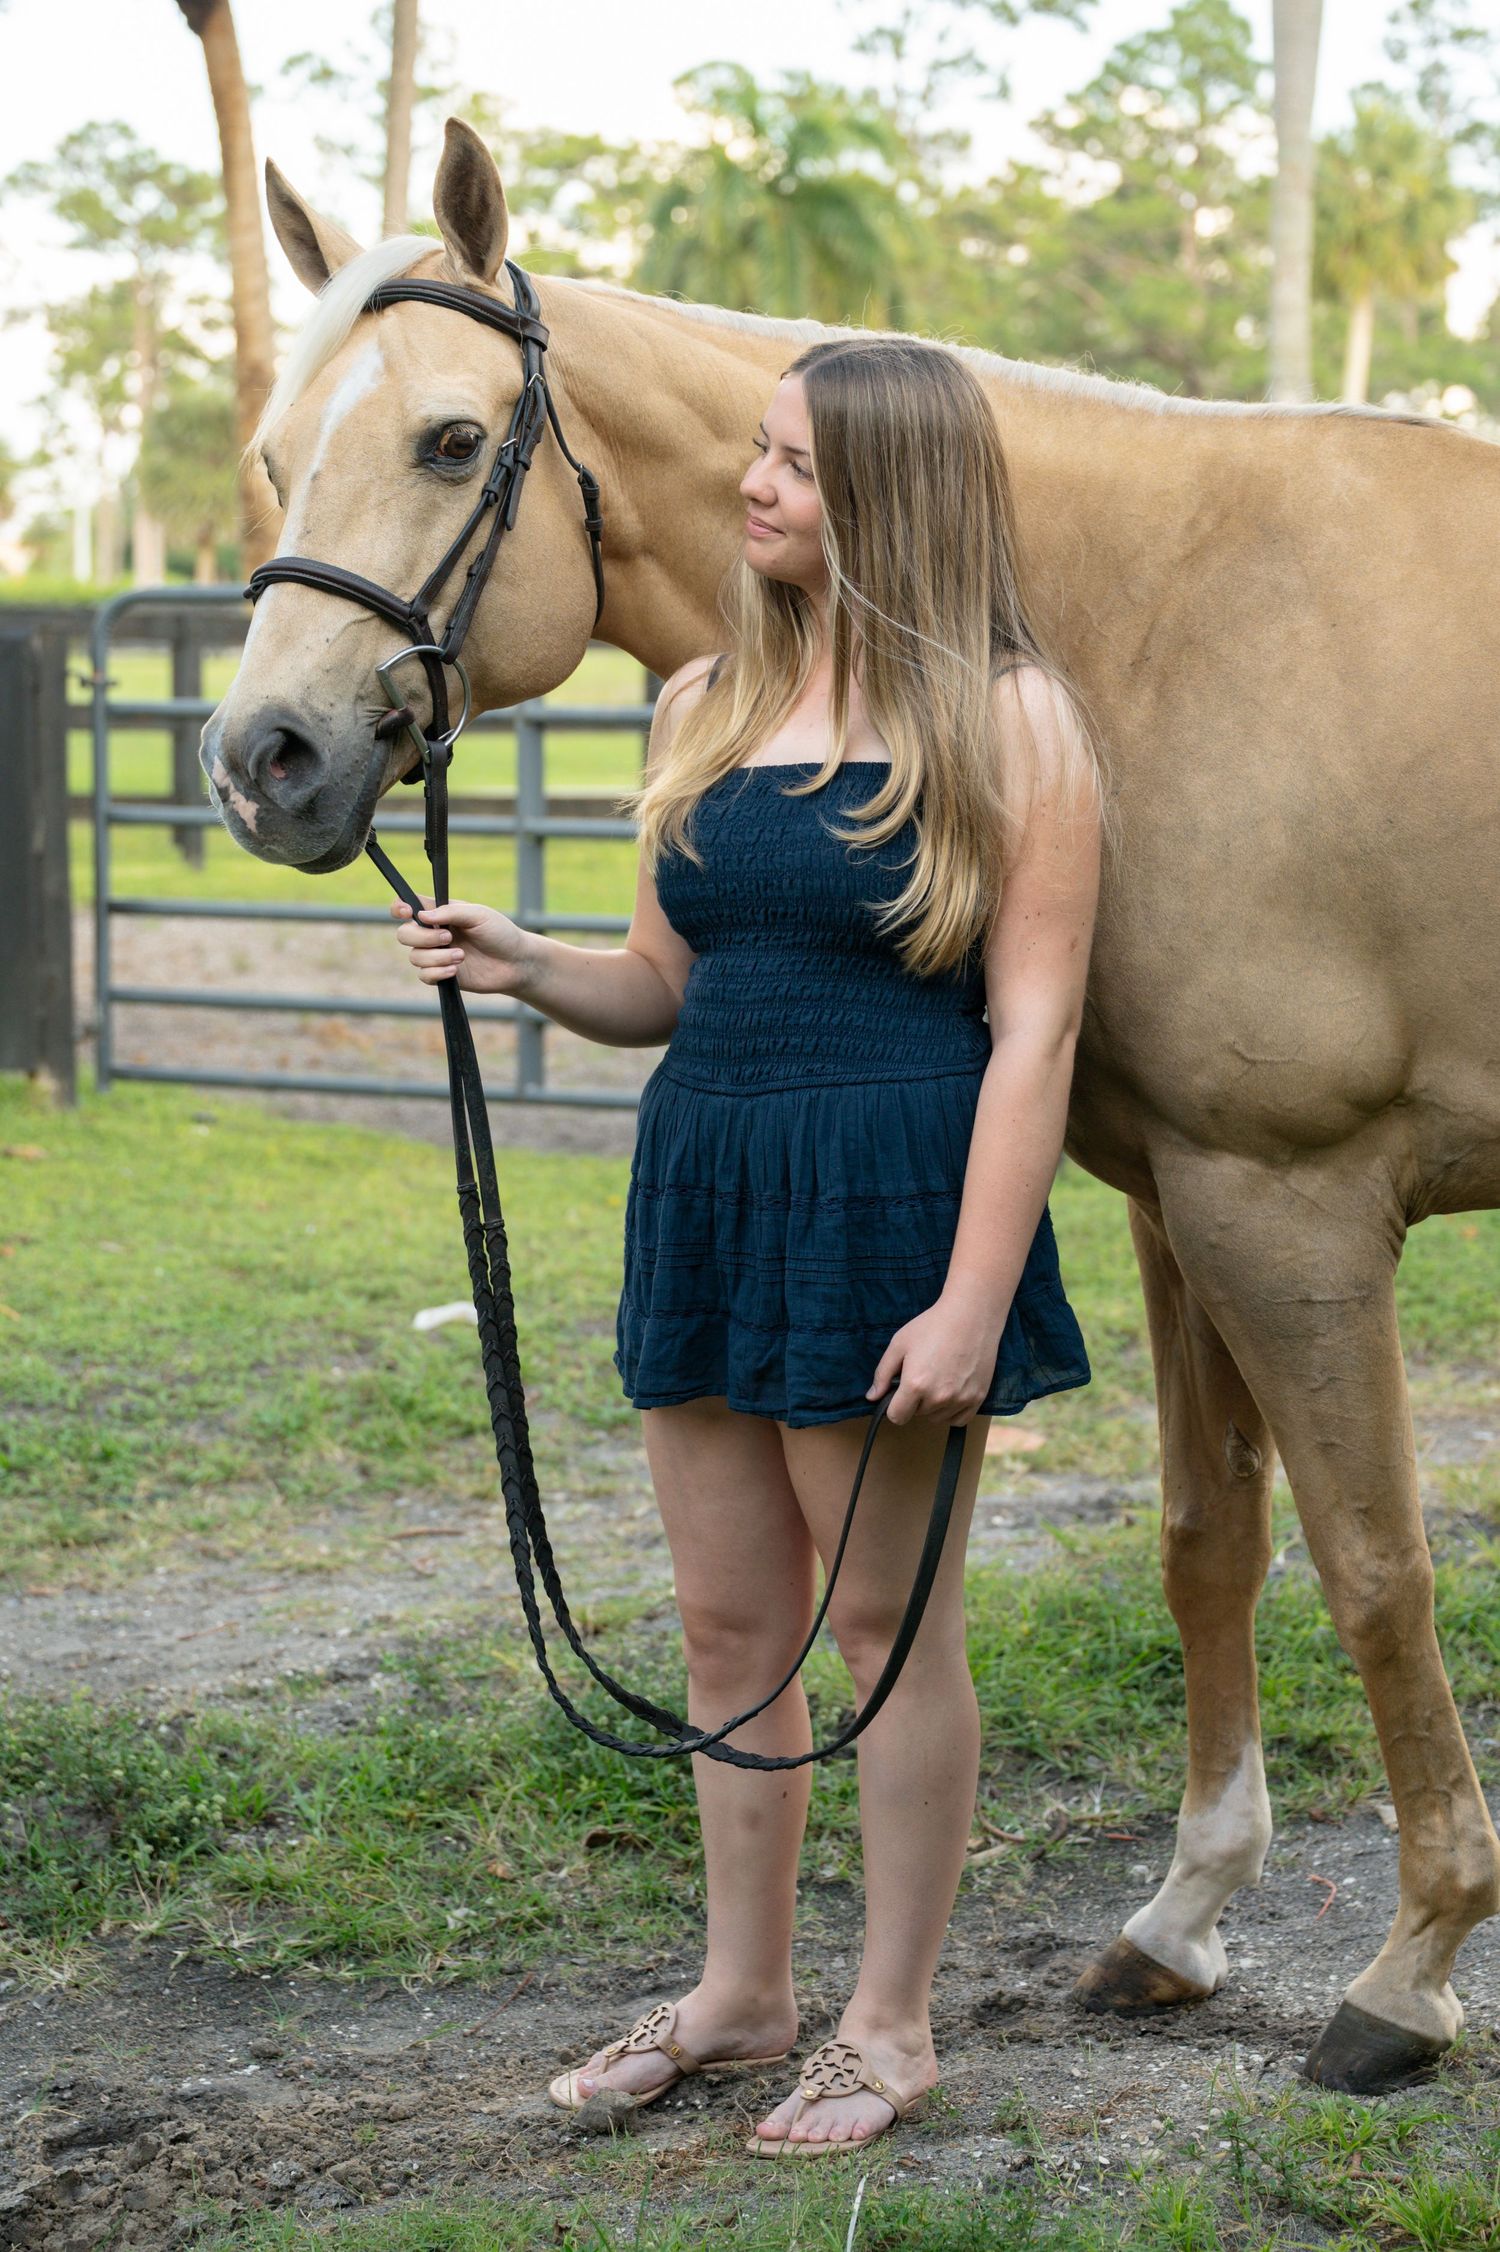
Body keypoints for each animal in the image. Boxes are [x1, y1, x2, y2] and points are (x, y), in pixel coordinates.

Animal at [203, 116, 1500, 2096]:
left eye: (448, 441)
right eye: (277, 457)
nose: (264, 760)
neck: (1158, 624)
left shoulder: (1293, 1202)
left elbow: (1377, 1570)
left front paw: (1409, 1969)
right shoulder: (1186, 1196)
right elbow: (1211, 1543)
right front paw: (1183, 1917)